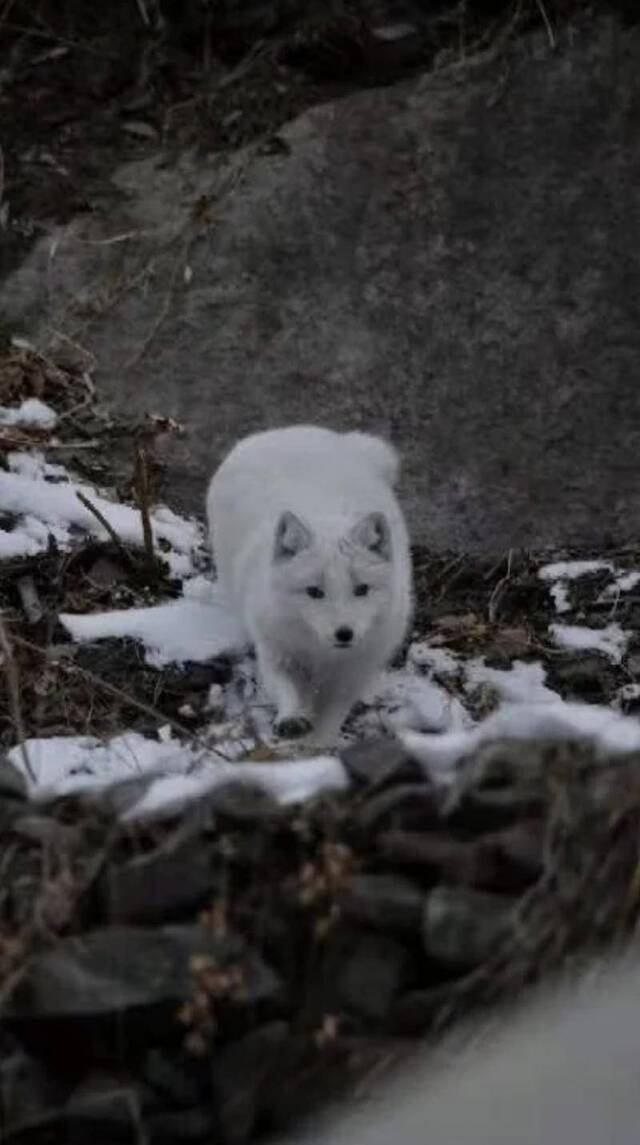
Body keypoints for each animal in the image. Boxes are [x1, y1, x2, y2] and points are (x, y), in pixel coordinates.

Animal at [208, 423, 412, 741]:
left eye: (362, 589)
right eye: (314, 592)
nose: (344, 633)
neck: (323, 654)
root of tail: (287, 430)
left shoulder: (354, 674)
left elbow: (332, 718)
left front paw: (319, 745)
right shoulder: (276, 652)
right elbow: (287, 690)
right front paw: (292, 719)